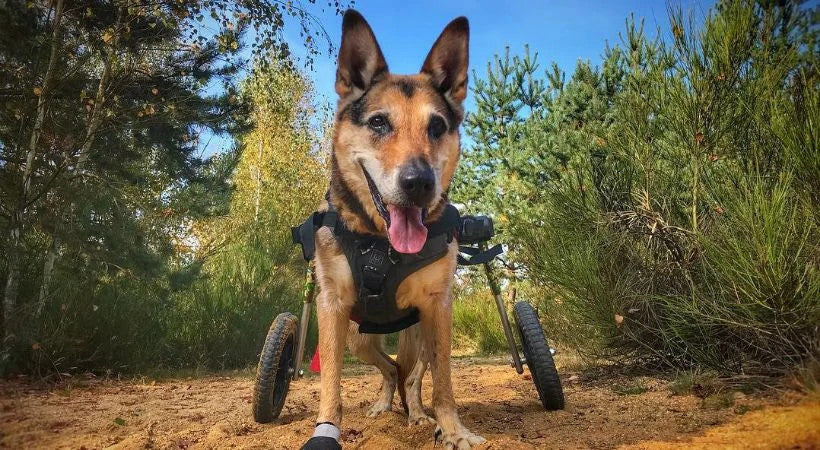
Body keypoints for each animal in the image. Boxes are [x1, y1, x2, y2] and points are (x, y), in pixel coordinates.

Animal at [302, 9, 484, 450]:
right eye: (379, 123)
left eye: (436, 127)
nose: (419, 183)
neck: (382, 244)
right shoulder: (332, 308)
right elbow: (331, 383)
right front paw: (326, 428)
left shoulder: (439, 308)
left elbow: (444, 385)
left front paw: (453, 430)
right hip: (358, 337)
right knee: (389, 369)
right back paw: (385, 406)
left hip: (420, 332)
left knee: (412, 374)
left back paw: (417, 414)